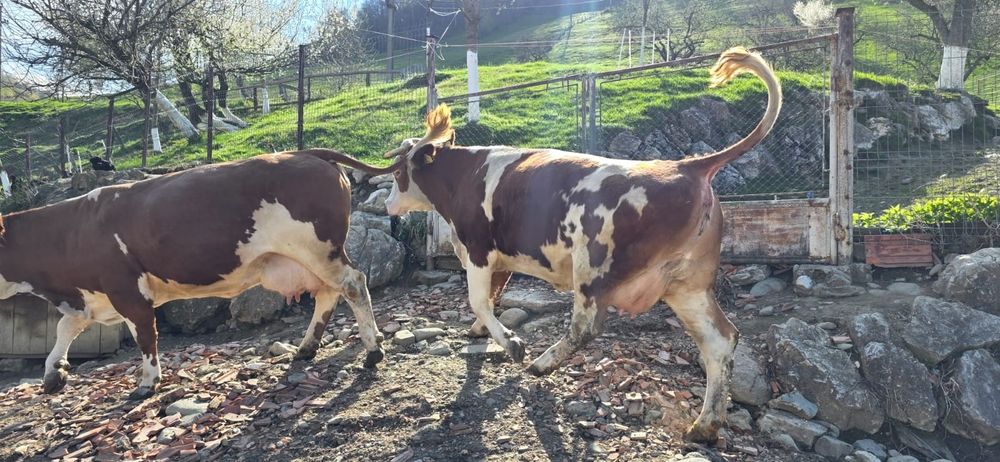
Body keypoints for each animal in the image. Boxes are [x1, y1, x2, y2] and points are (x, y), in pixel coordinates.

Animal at [0, 149, 394, 400]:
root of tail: (306, 153)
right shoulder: (90, 297)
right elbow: (64, 328)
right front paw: (53, 373)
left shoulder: (127, 291)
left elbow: (145, 337)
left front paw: (147, 383)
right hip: (304, 257)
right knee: (328, 292)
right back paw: (307, 348)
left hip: (317, 248)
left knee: (353, 284)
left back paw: (373, 350)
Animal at [381, 47, 781, 442]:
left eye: (399, 173)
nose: (386, 204)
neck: (465, 175)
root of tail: (688, 167)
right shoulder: (502, 258)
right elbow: (492, 297)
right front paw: (482, 332)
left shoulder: (479, 248)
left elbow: (479, 300)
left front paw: (511, 342)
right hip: (687, 284)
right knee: (720, 340)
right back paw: (705, 425)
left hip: (592, 266)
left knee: (586, 325)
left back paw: (542, 364)